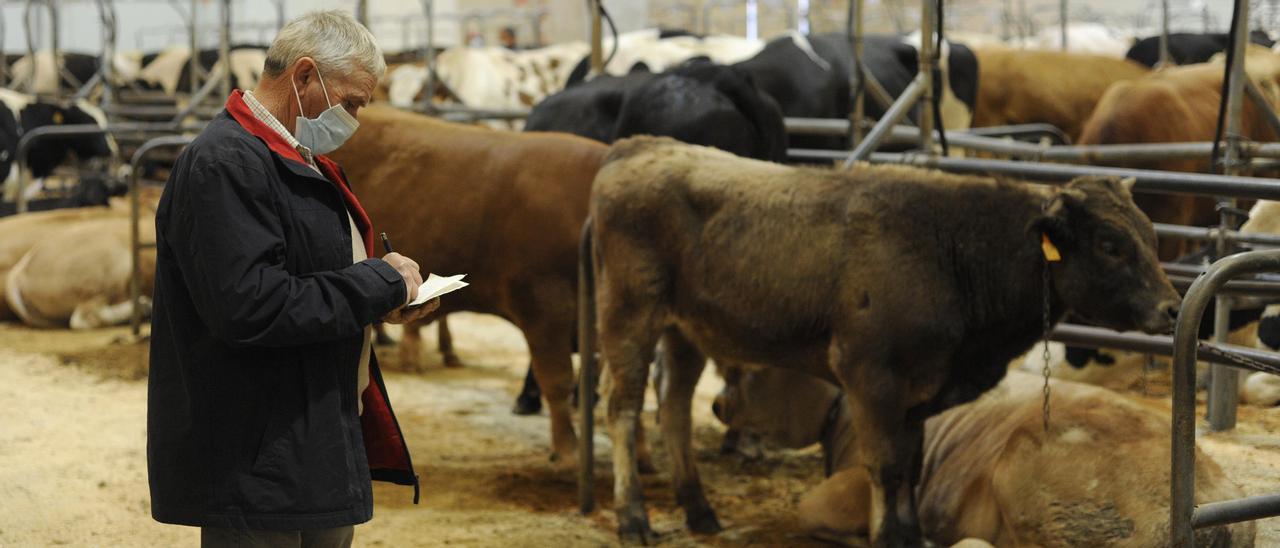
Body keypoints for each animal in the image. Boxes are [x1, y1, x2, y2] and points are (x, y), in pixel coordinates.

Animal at [588, 137, 1177, 542]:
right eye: (1110, 244)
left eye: (1150, 236)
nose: (1172, 308)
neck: (950, 248)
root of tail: (639, 146)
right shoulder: (871, 376)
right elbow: (886, 466)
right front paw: (888, 536)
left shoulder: (920, 394)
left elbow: (909, 467)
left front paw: (909, 535)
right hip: (629, 314)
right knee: (622, 407)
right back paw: (633, 518)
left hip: (684, 329)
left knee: (674, 407)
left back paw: (699, 509)